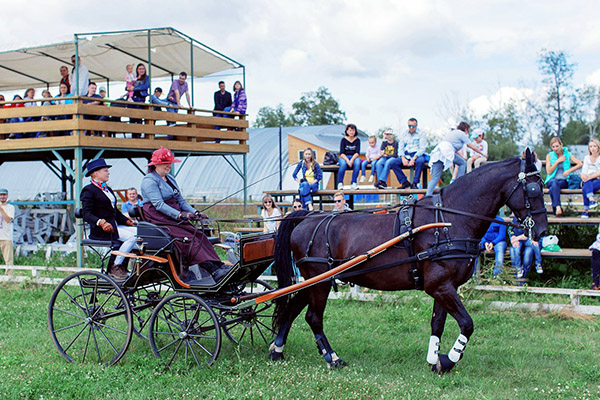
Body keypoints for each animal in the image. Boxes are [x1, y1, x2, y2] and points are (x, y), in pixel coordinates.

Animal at [272, 152, 548, 372]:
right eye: (534, 189)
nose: (543, 230)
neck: (447, 221)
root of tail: (308, 217)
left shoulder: (444, 286)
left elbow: (437, 323)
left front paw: (434, 359)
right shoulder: (440, 286)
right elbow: (467, 324)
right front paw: (448, 360)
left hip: (312, 281)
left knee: (292, 309)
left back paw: (277, 350)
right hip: (319, 281)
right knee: (313, 318)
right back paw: (332, 357)